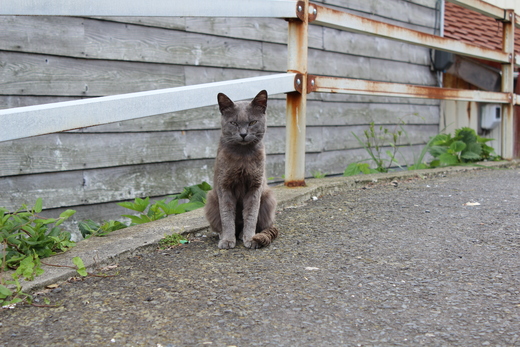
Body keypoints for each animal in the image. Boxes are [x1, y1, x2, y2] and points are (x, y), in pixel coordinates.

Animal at [205, 91, 280, 249]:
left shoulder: (255, 187)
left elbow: (251, 215)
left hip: (268, 198)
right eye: (234, 123)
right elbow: (227, 216)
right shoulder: (224, 186)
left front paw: (250, 238)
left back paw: (242, 235)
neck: (242, 156)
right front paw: (227, 240)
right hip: (211, 201)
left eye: (252, 122)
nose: (243, 134)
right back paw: (224, 235)